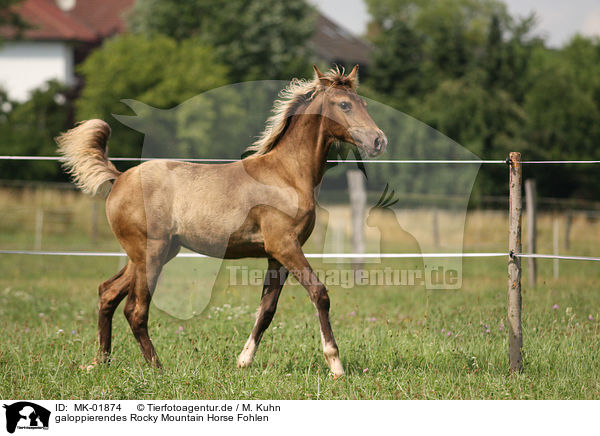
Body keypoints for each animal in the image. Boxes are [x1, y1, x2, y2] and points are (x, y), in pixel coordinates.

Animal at [57, 64, 390, 378]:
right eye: (344, 104)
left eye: (363, 102)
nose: (379, 140)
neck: (287, 175)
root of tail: (119, 177)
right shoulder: (285, 246)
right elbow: (319, 293)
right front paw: (336, 365)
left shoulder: (277, 256)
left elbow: (267, 309)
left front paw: (243, 361)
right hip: (150, 253)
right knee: (135, 310)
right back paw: (157, 368)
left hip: (149, 254)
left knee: (108, 293)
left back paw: (100, 362)